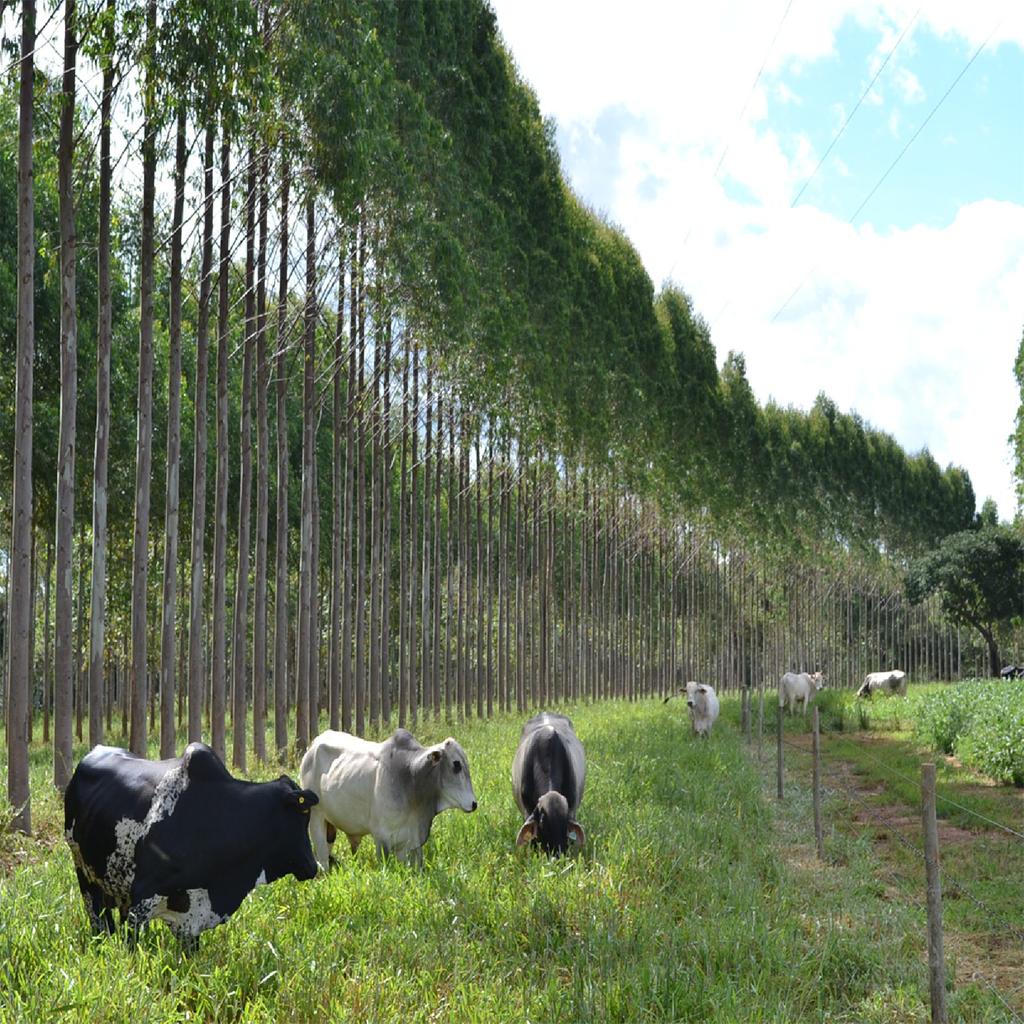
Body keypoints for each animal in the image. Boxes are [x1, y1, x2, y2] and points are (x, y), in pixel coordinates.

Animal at [62, 745, 317, 950]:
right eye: (303, 814)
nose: (312, 866)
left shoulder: (192, 918)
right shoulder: (141, 900)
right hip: (84, 874)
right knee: (99, 923)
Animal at [299, 729, 479, 872]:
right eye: (456, 765)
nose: (474, 804)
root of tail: (314, 744)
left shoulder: (410, 844)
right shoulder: (382, 838)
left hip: (330, 825)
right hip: (316, 817)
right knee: (322, 858)